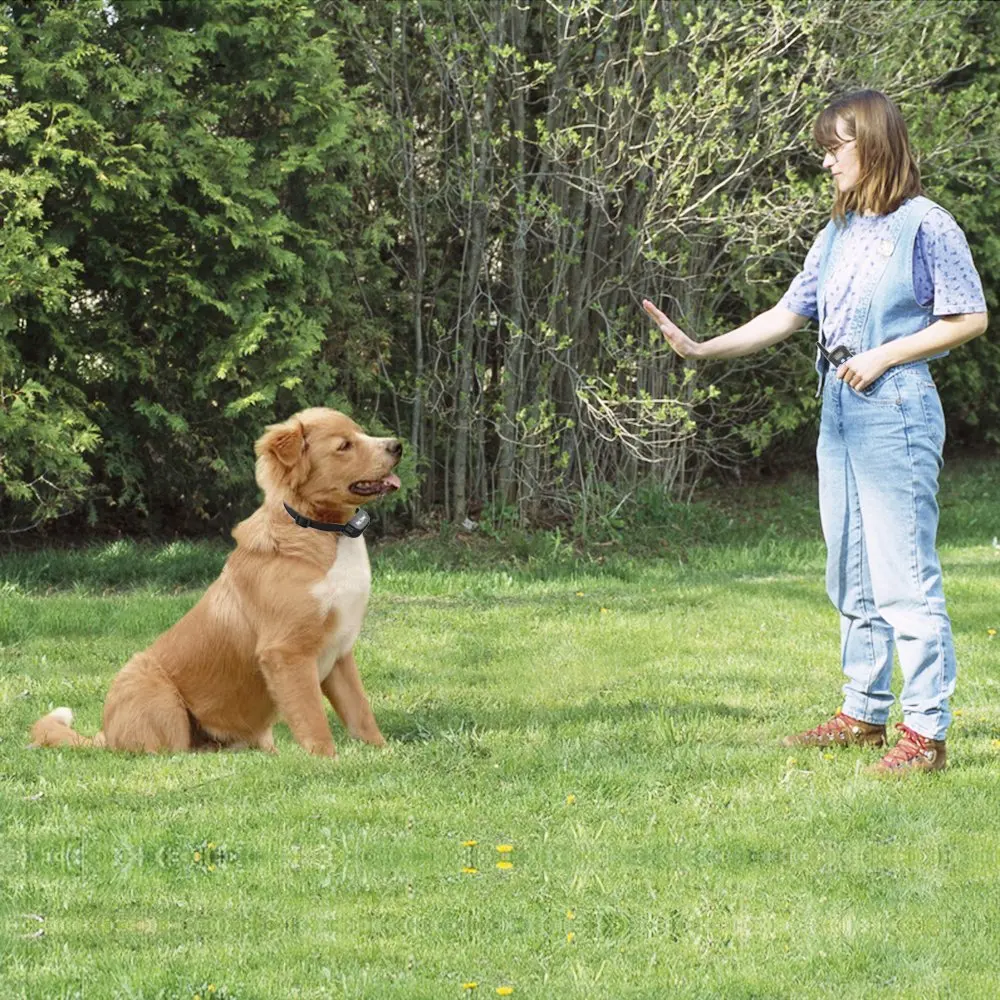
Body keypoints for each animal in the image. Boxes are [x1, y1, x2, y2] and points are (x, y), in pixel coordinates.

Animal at [30, 408, 402, 756]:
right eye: (344, 445)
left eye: (360, 433)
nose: (398, 446)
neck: (323, 531)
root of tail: (107, 737)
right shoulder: (287, 652)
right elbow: (313, 720)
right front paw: (327, 760)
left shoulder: (340, 654)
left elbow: (361, 713)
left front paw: (383, 754)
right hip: (155, 693)